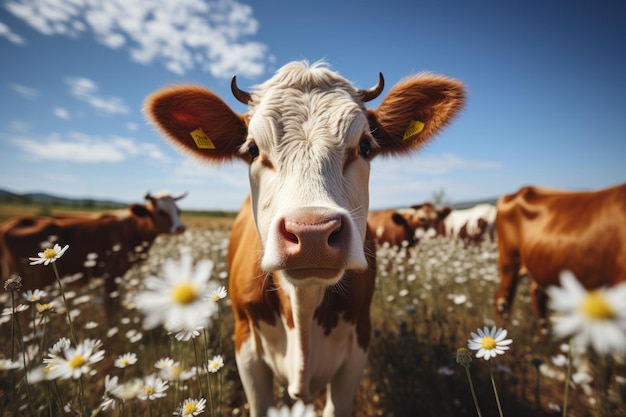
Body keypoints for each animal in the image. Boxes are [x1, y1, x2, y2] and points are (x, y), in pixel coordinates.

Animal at [143, 60, 464, 414]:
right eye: (252, 149)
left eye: (365, 146)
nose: (312, 233)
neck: (304, 307)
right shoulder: (245, 346)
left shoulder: (358, 345)